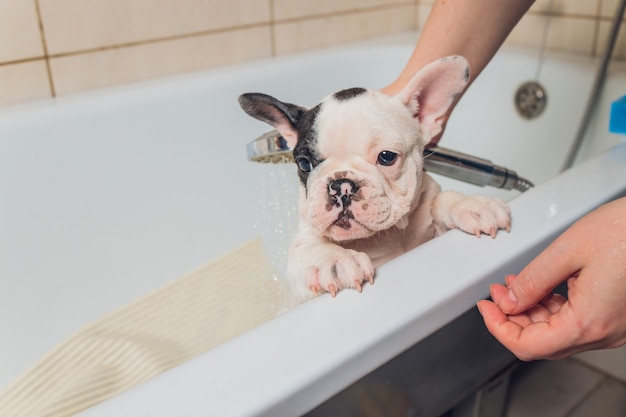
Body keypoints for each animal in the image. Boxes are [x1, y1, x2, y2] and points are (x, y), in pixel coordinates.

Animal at [236, 56, 510, 302]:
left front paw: (472, 204)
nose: (341, 185)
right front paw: (334, 260)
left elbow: (441, 199)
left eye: (387, 157)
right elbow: (308, 248)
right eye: (304, 163)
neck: (386, 237)